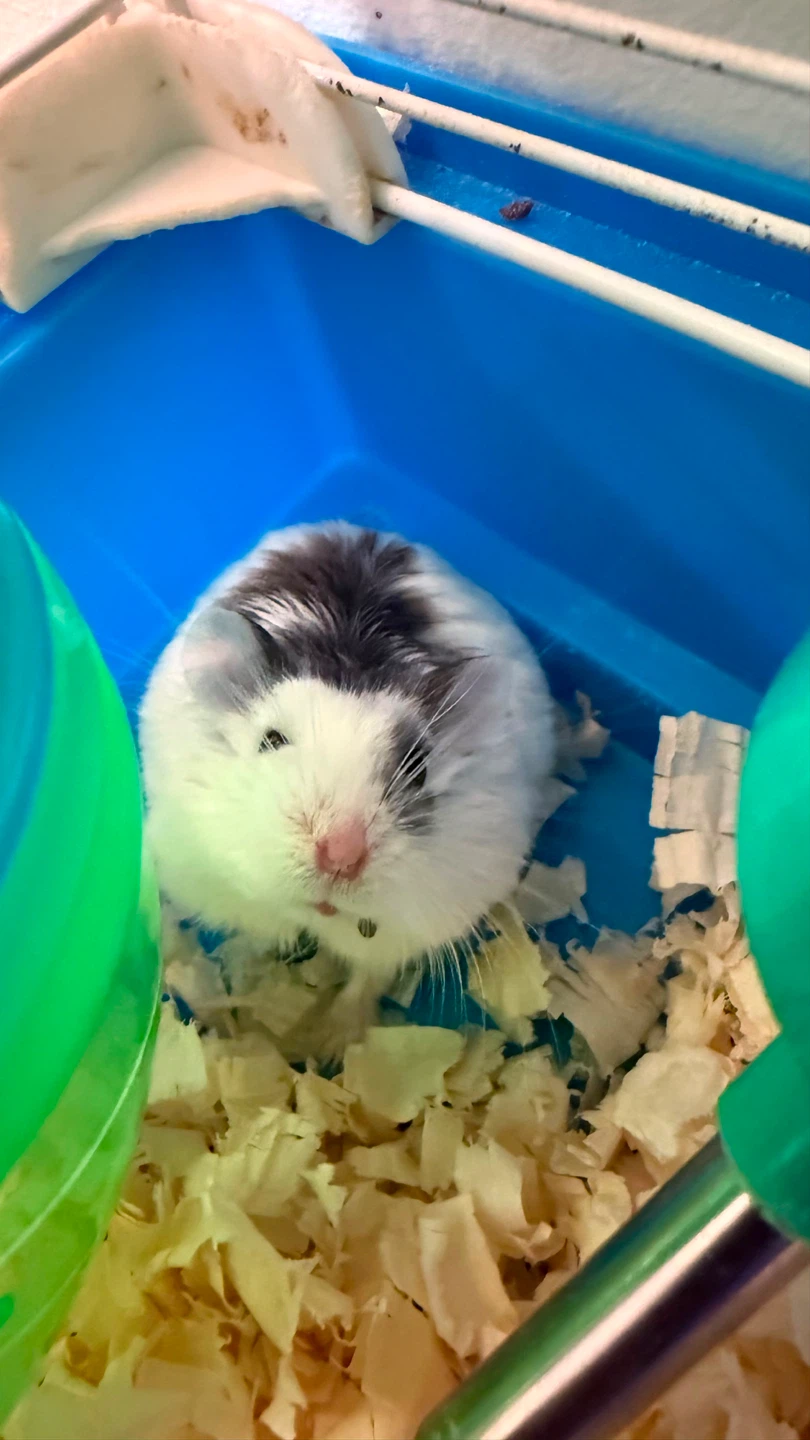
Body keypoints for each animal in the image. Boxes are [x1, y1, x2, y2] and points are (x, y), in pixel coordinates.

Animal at [139, 523, 557, 1047]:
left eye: (418, 768)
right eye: (271, 741)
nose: (341, 857)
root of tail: (365, 528)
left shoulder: (412, 926)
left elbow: (367, 978)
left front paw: (332, 1045)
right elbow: (258, 932)